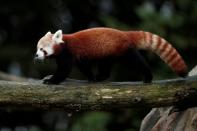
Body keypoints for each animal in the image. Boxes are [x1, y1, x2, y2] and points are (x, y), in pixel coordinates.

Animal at [35, 27, 188, 84]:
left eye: (42, 49)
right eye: (37, 49)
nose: (36, 56)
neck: (63, 43)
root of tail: (124, 33)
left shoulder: (68, 53)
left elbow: (64, 70)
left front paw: (52, 80)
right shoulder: (79, 57)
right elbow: (84, 66)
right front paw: (91, 78)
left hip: (124, 51)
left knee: (136, 62)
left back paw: (148, 77)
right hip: (107, 53)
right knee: (105, 66)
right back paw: (100, 77)